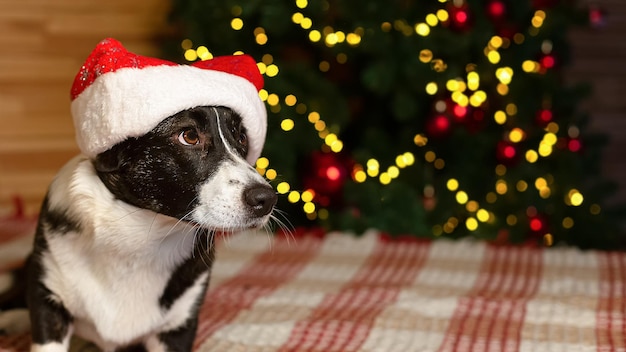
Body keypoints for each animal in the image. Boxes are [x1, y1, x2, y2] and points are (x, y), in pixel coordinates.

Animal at [0, 105, 276, 352]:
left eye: (241, 137)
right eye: (189, 136)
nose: (267, 200)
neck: (139, 236)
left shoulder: (177, 329)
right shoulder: (48, 302)